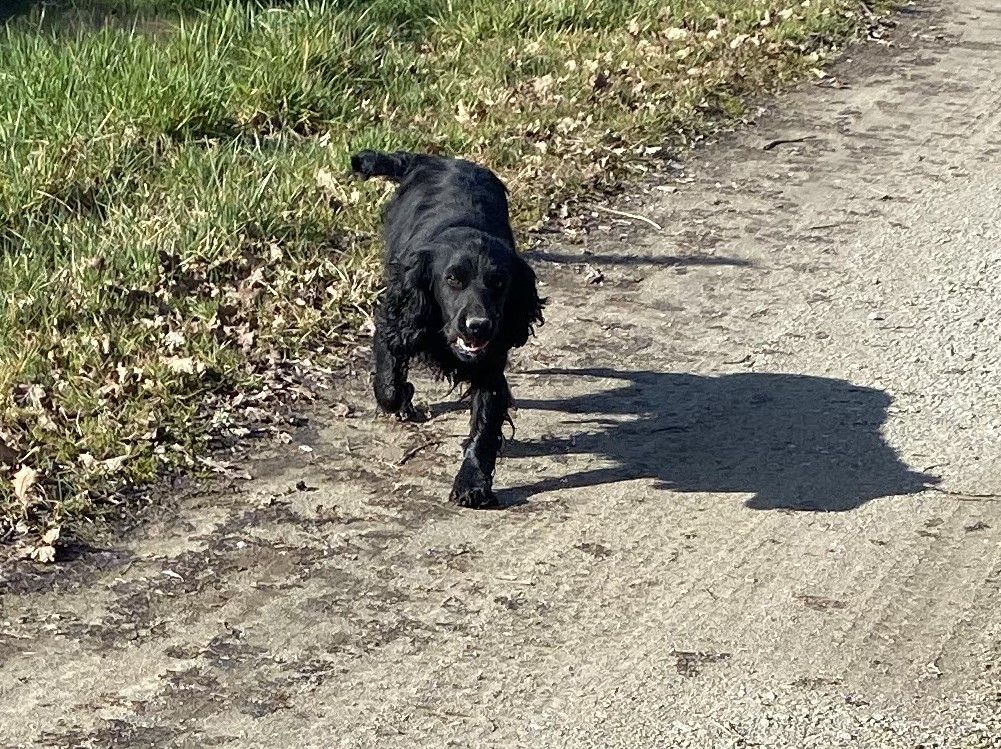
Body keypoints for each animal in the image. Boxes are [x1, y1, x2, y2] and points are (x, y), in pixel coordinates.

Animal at [348, 148, 544, 508]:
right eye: (453, 279)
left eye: (499, 283)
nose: (478, 326)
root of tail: (432, 159)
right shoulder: (395, 322)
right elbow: (388, 387)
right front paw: (404, 398)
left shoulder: (490, 368)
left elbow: (485, 426)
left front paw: (472, 483)